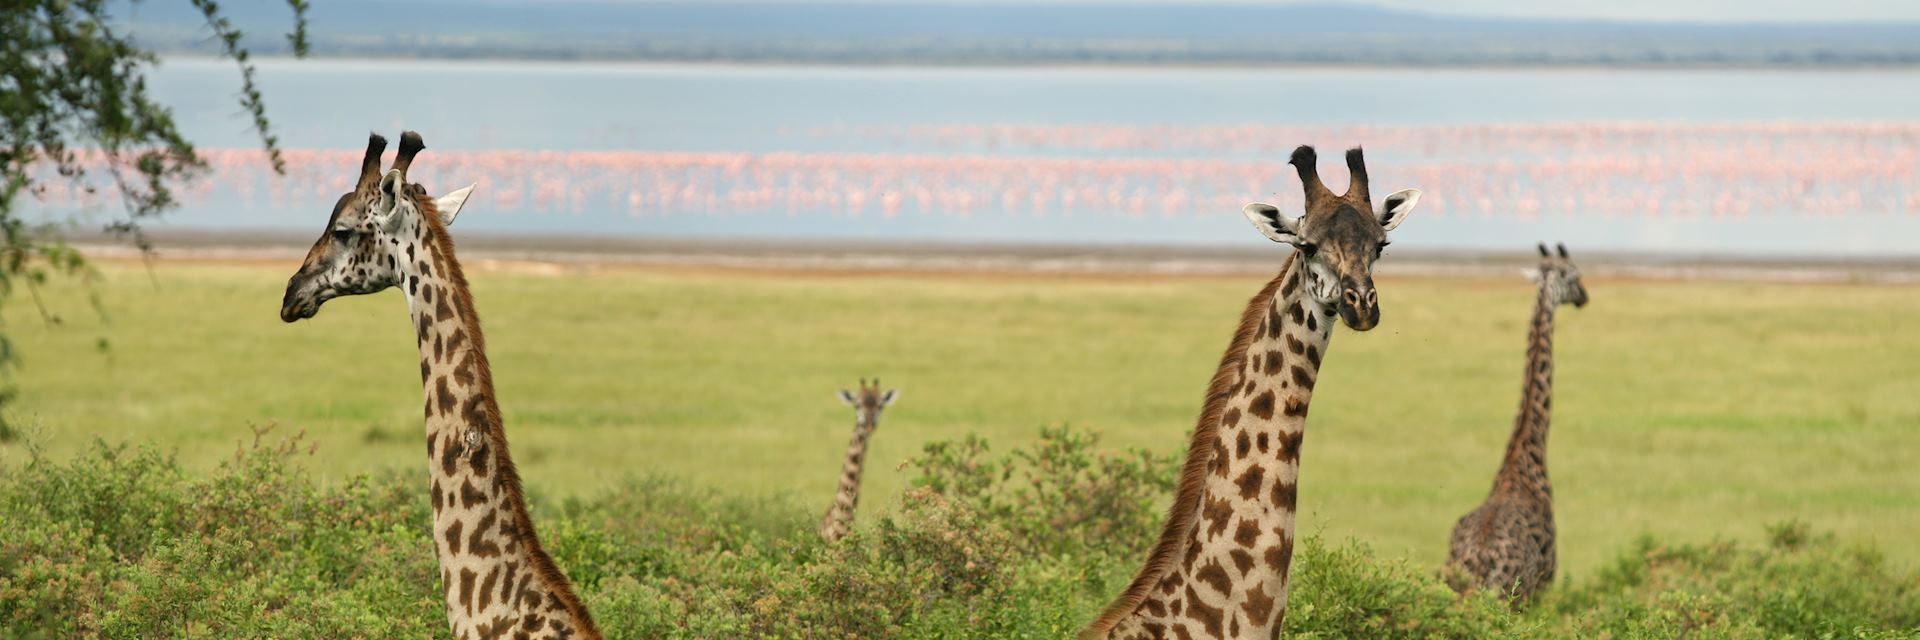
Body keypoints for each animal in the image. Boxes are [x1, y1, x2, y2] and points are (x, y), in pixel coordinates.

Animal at [1443, 242, 1589, 599]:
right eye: (1575, 275)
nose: (1584, 296)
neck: (1523, 459)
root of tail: (1480, 561)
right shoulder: (1547, 582)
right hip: (1514, 595)